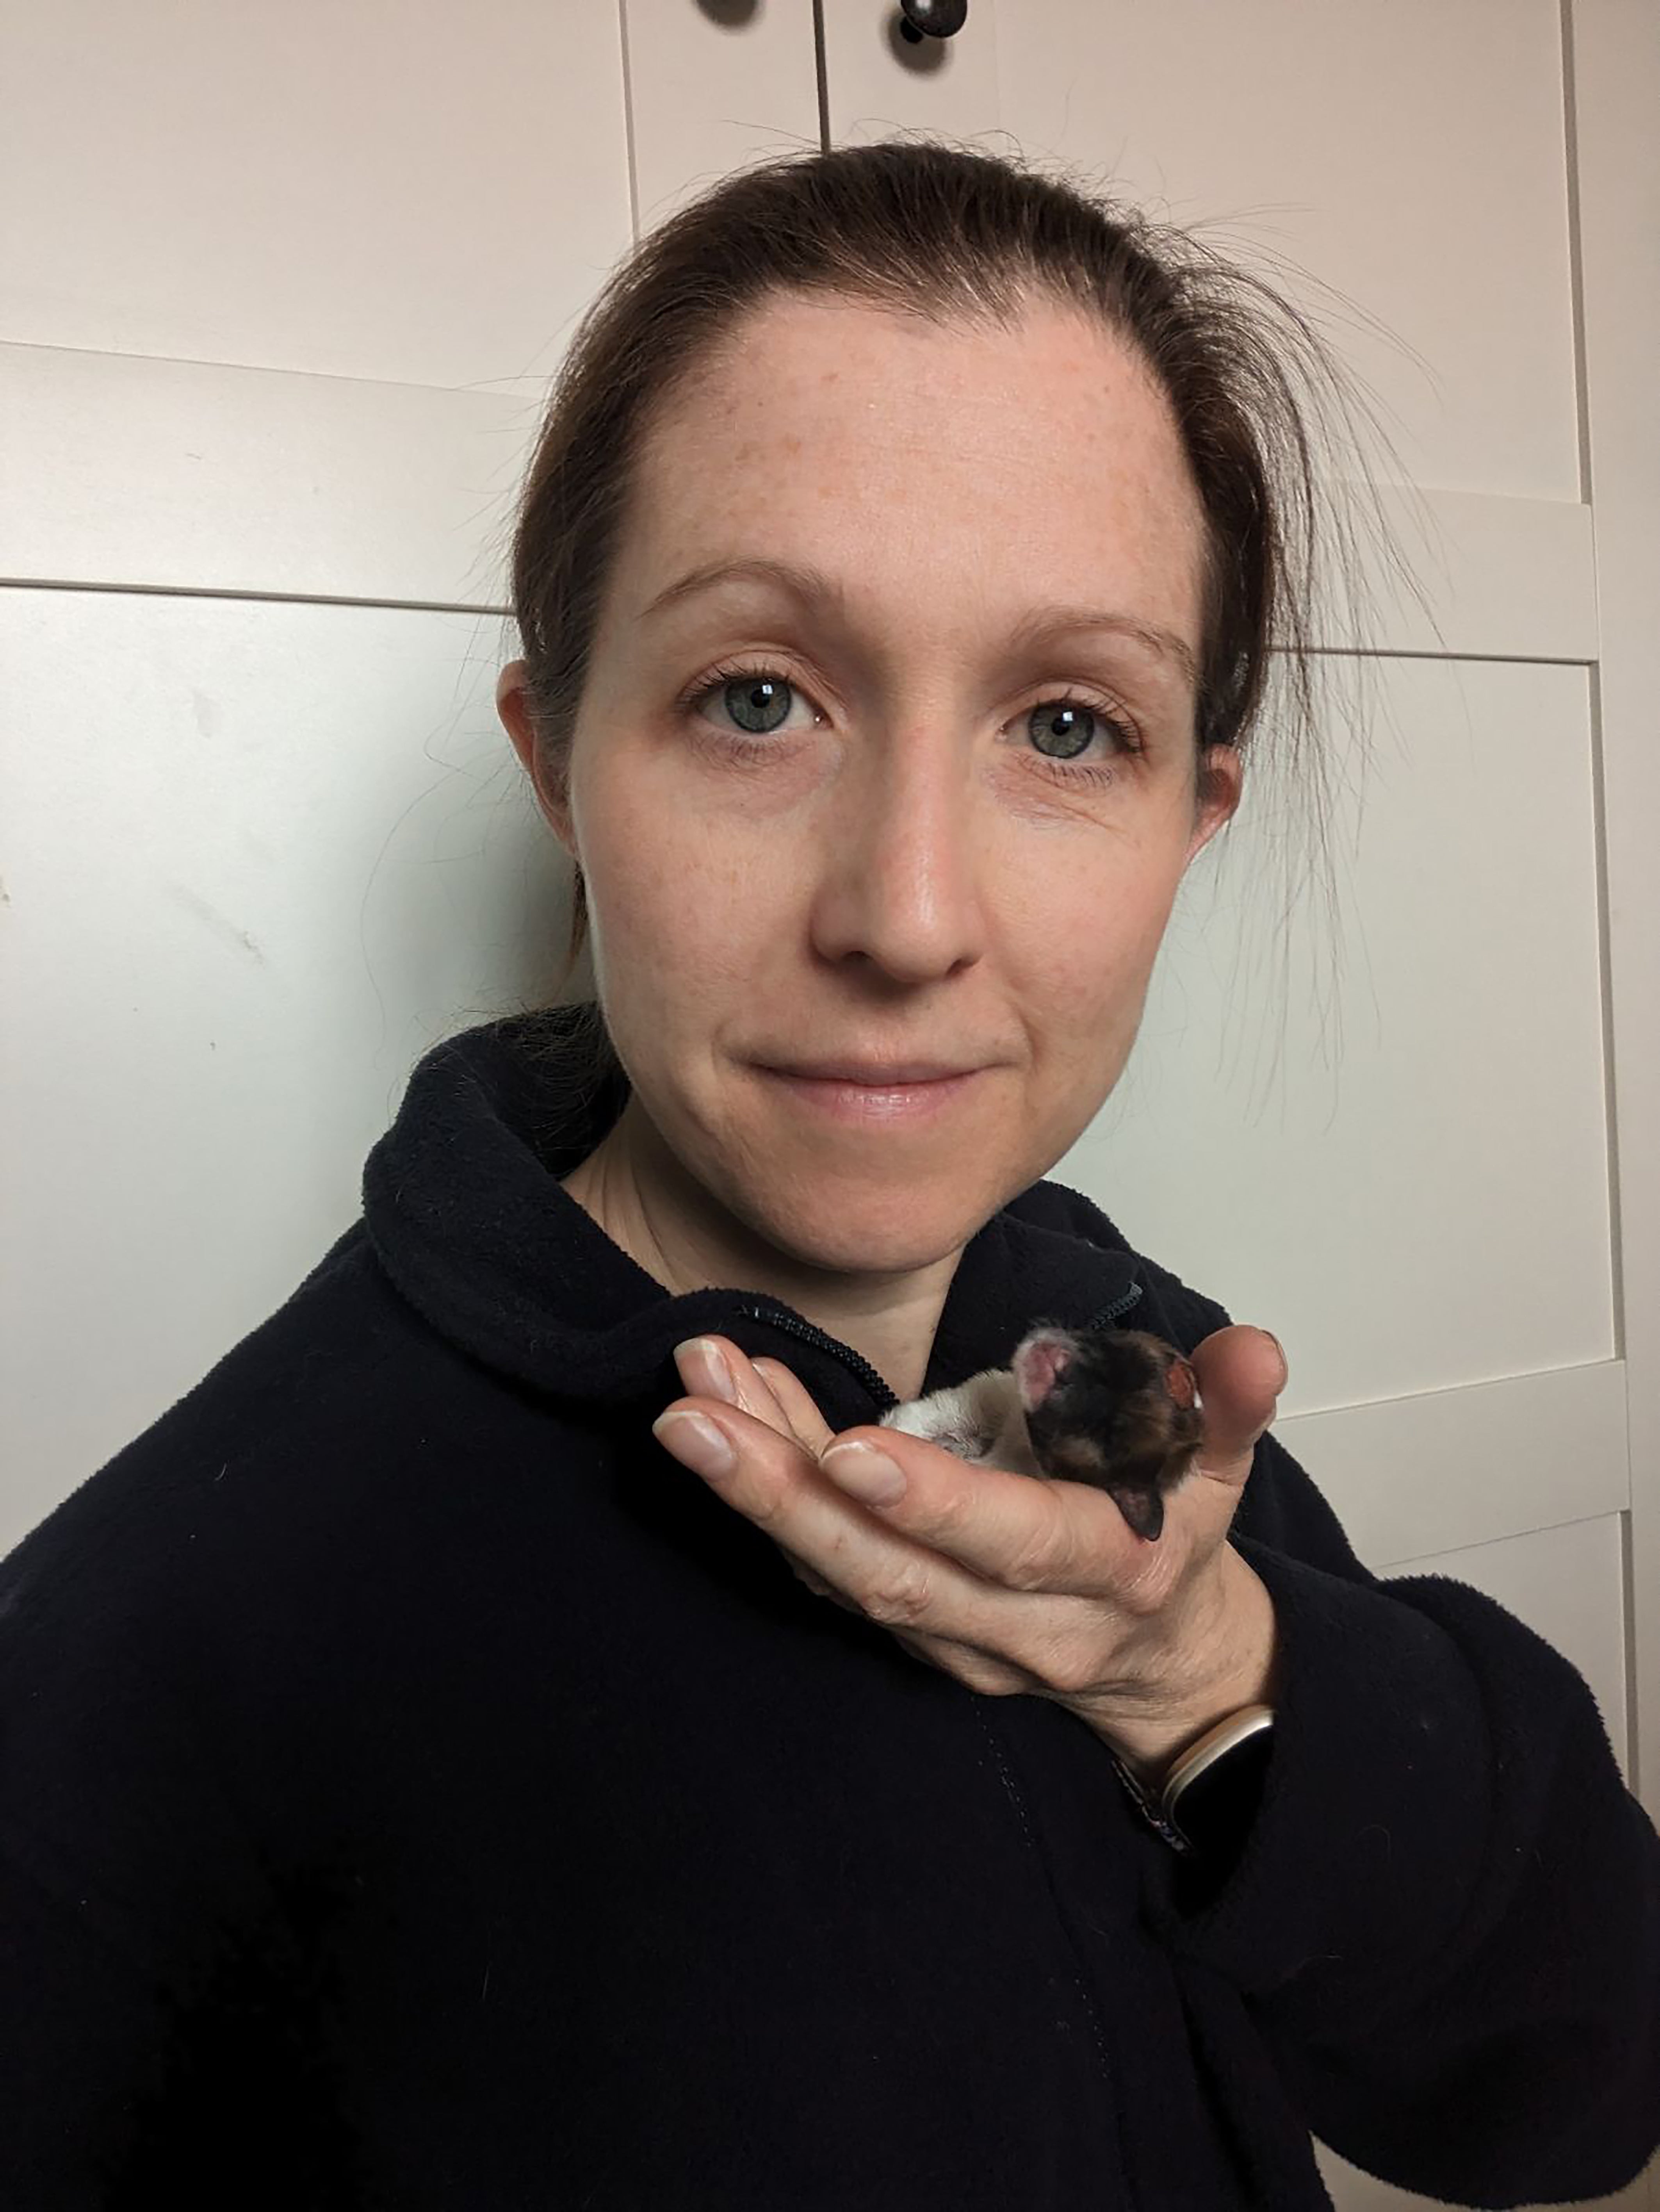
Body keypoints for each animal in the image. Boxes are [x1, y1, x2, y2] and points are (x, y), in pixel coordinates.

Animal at [884, 1318, 1211, 1548]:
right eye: (1118, 1353)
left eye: (1102, 1437)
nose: (1062, 1374)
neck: (1017, 1438)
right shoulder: (985, 1398)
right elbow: (937, 1414)